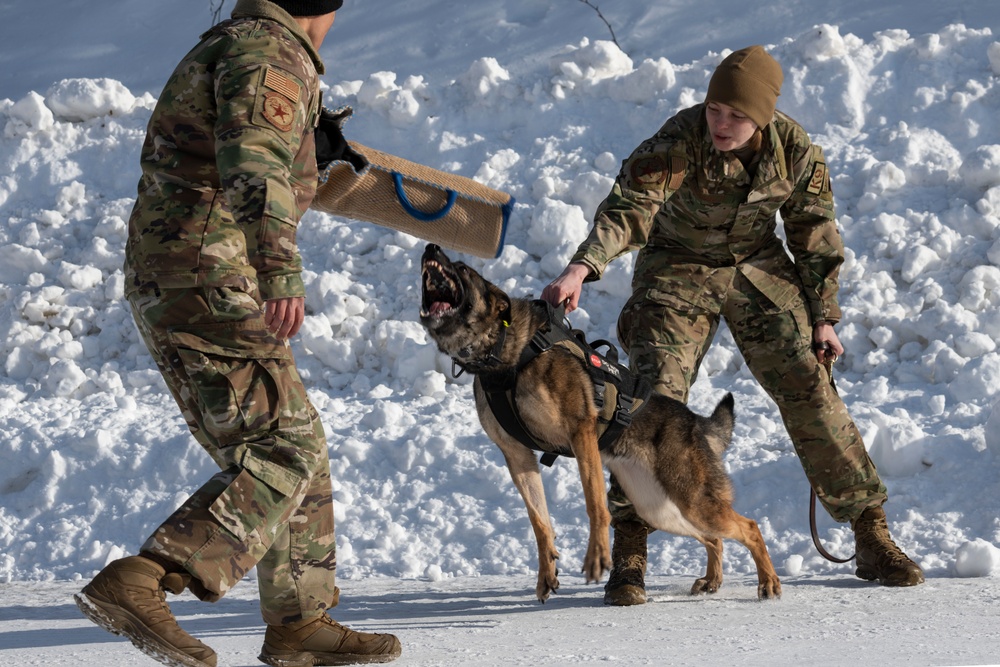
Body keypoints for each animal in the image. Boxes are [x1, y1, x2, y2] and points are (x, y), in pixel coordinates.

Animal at [420, 245, 780, 604]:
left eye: (462, 268)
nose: (430, 247)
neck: (506, 353)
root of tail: (695, 422)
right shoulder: (517, 455)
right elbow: (539, 520)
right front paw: (547, 571)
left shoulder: (581, 433)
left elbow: (594, 503)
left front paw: (597, 557)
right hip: (661, 510)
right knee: (715, 538)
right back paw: (713, 580)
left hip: (692, 501)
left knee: (749, 527)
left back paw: (768, 582)